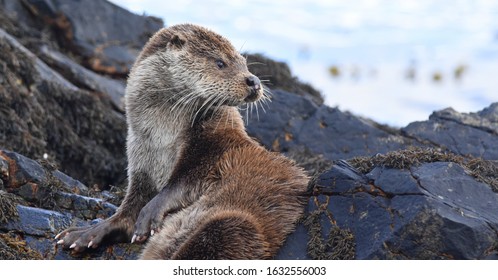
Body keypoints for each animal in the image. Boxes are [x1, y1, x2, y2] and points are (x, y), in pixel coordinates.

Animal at [56, 24, 310, 260]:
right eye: (220, 62)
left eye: (244, 64)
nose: (253, 80)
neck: (162, 139)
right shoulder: (141, 161)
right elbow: (127, 211)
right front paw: (84, 234)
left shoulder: (211, 153)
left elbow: (180, 185)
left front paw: (149, 215)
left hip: (234, 222)